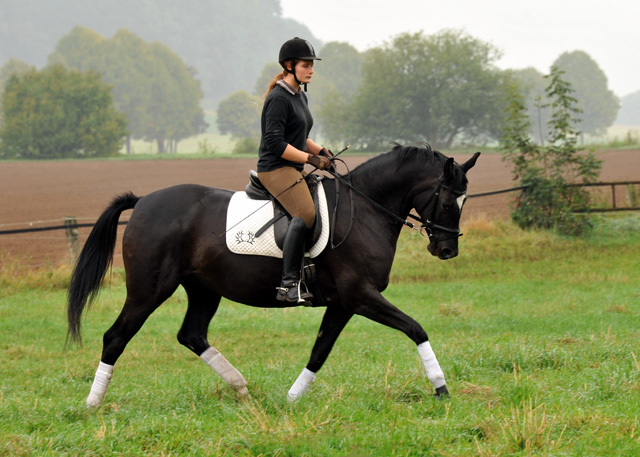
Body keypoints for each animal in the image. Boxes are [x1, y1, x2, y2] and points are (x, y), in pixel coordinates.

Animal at [69, 143, 480, 406]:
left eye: (464, 200)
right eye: (448, 201)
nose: (447, 250)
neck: (364, 209)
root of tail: (143, 202)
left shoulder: (344, 304)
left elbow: (320, 350)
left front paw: (292, 398)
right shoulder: (361, 295)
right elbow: (416, 329)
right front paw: (441, 387)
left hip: (204, 289)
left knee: (191, 334)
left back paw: (241, 388)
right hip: (149, 291)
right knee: (115, 337)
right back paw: (93, 403)